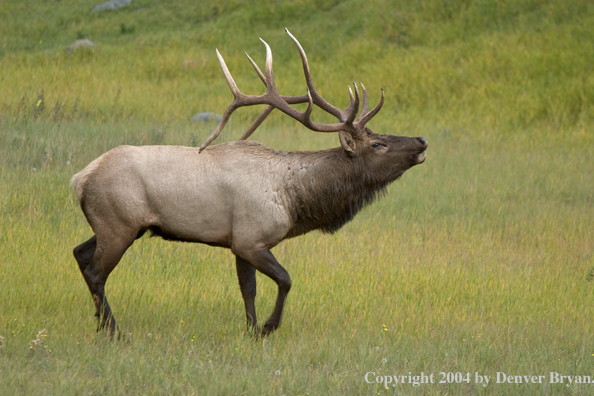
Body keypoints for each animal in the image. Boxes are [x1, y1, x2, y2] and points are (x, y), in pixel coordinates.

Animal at [71, 29, 428, 336]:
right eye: (378, 144)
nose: (421, 140)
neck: (295, 201)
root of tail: (79, 179)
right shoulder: (251, 239)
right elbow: (284, 280)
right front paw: (268, 327)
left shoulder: (238, 241)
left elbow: (248, 290)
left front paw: (251, 330)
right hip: (119, 223)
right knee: (97, 272)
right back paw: (114, 331)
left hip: (116, 226)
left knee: (80, 253)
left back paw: (100, 322)